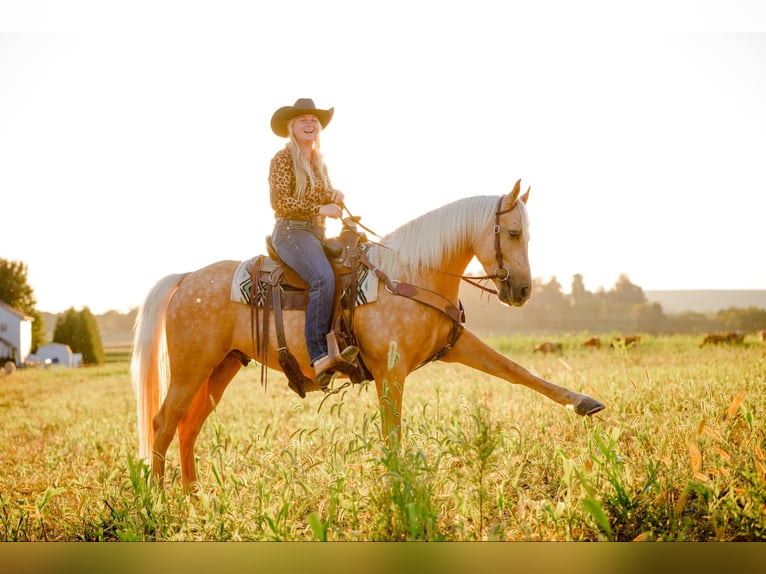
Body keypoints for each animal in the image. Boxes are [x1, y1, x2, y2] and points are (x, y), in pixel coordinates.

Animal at [135, 181, 608, 490]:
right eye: (512, 233)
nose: (522, 291)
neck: (411, 275)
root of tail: (187, 278)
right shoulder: (390, 371)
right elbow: (391, 435)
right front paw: (397, 490)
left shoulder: (456, 345)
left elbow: (517, 370)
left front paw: (584, 402)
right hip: (191, 369)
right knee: (163, 423)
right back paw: (159, 499)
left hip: (221, 367)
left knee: (188, 427)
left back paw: (194, 498)